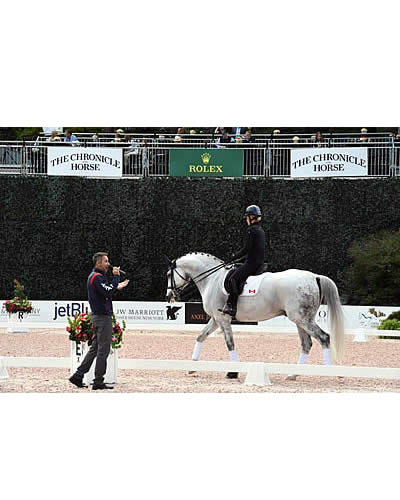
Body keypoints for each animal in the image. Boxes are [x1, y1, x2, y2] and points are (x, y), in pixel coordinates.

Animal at [164, 252, 346, 376]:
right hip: (300, 320)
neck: (212, 279)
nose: (169, 296)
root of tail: (314, 277)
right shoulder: (216, 320)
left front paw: (233, 372)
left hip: (302, 319)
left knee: (324, 338)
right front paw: (192, 367)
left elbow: (230, 344)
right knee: (307, 344)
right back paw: (293, 374)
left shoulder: (223, 319)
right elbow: (200, 337)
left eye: (168, 274)